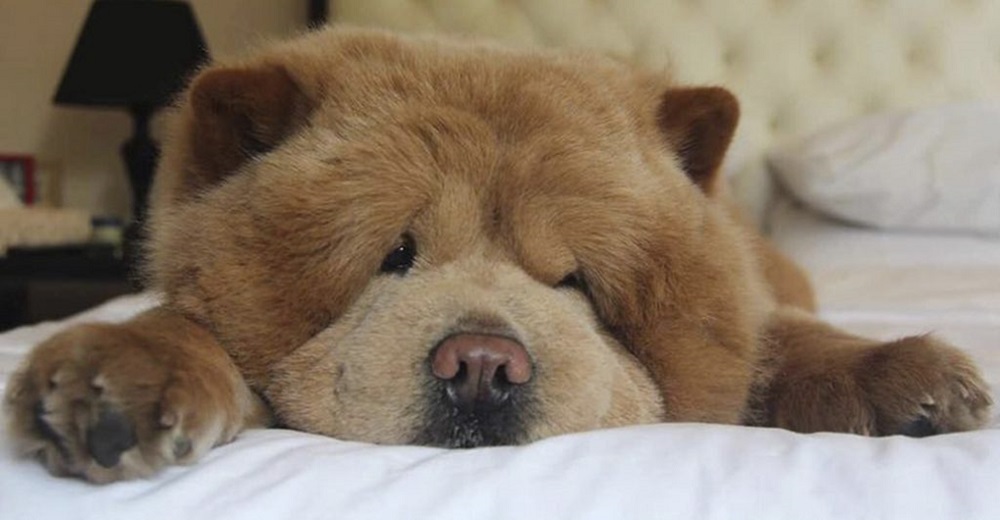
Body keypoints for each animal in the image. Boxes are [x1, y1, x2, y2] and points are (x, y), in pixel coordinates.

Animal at [1, 27, 992, 484]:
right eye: (395, 253)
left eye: (575, 281)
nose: (482, 365)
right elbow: (187, 327)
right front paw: (115, 382)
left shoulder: (758, 328)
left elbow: (780, 341)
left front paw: (907, 380)